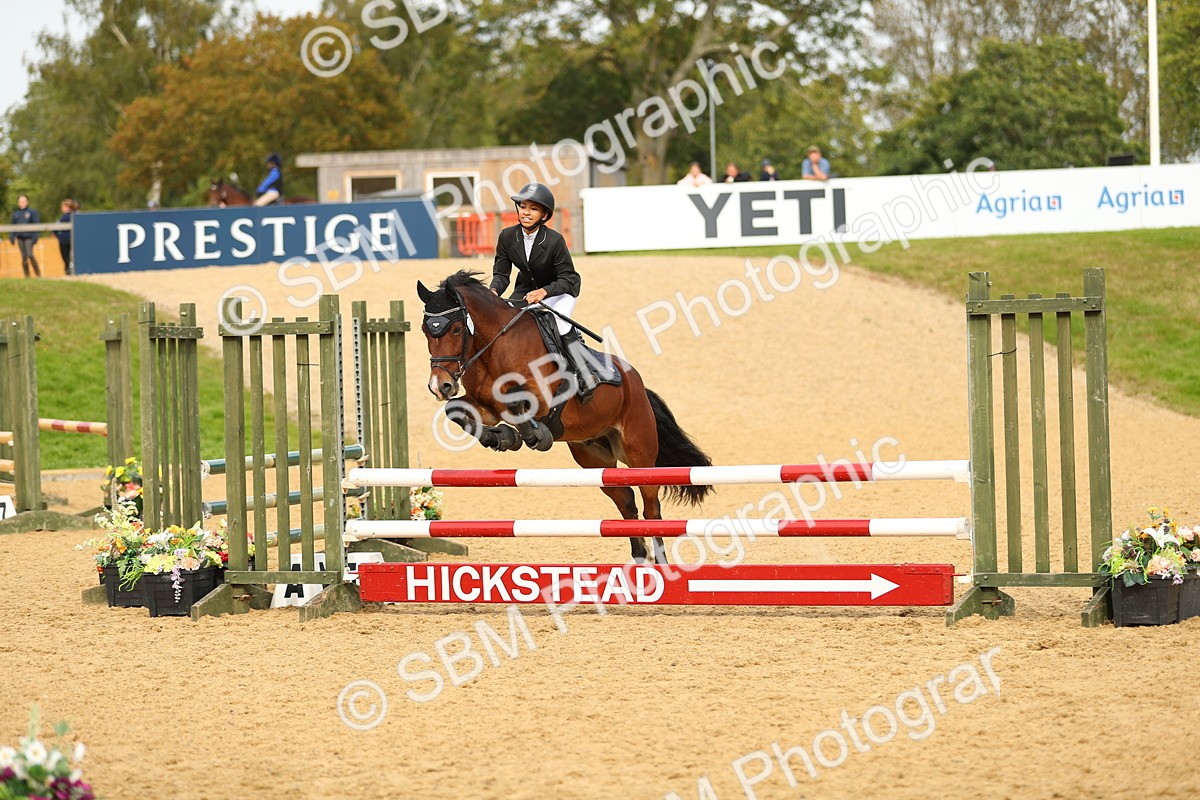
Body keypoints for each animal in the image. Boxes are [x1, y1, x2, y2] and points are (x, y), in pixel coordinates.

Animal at [416, 269, 713, 564]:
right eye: (425, 331)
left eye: (456, 329)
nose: (440, 386)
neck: (493, 346)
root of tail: (637, 383)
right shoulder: (486, 407)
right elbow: (456, 411)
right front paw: (503, 437)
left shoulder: (542, 397)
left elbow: (516, 400)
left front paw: (534, 436)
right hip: (594, 458)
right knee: (626, 501)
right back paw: (640, 558)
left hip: (639, 453)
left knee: (651, 506)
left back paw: (660, 562)